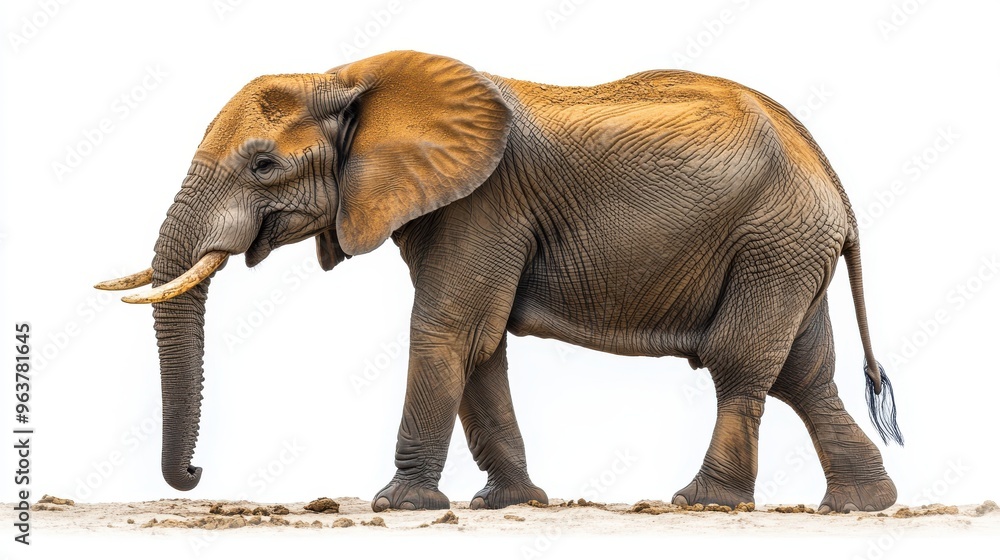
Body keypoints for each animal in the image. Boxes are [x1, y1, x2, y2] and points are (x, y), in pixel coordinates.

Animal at [97, 50, 903, 514]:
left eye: (263, 165)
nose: (197, 471)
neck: (348, 78)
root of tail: (833, 177)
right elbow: (480, 346)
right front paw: (506, 502)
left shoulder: (483, 203)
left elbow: (447, 330)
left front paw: (399, 505)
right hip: (787, 250)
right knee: (804, 373)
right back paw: (861, 505)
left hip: (773, 241)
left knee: (741, 364)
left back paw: (703, 503)